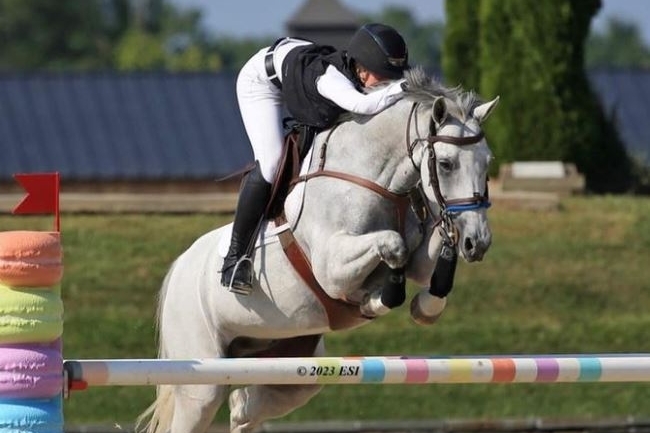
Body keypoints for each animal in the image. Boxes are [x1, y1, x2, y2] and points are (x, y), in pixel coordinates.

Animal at [136, 67, 499, 433]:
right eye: (447, 163)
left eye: (487, 162)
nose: (478, 242)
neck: (372, 178)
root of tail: (178, 266)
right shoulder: (332, 268)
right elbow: (392, 246)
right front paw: (375, 300)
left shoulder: (418, 261)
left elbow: (424, 267)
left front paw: (425, 307)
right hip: (202, 383)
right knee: (201, 405)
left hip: (288, 367)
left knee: (246, 407)